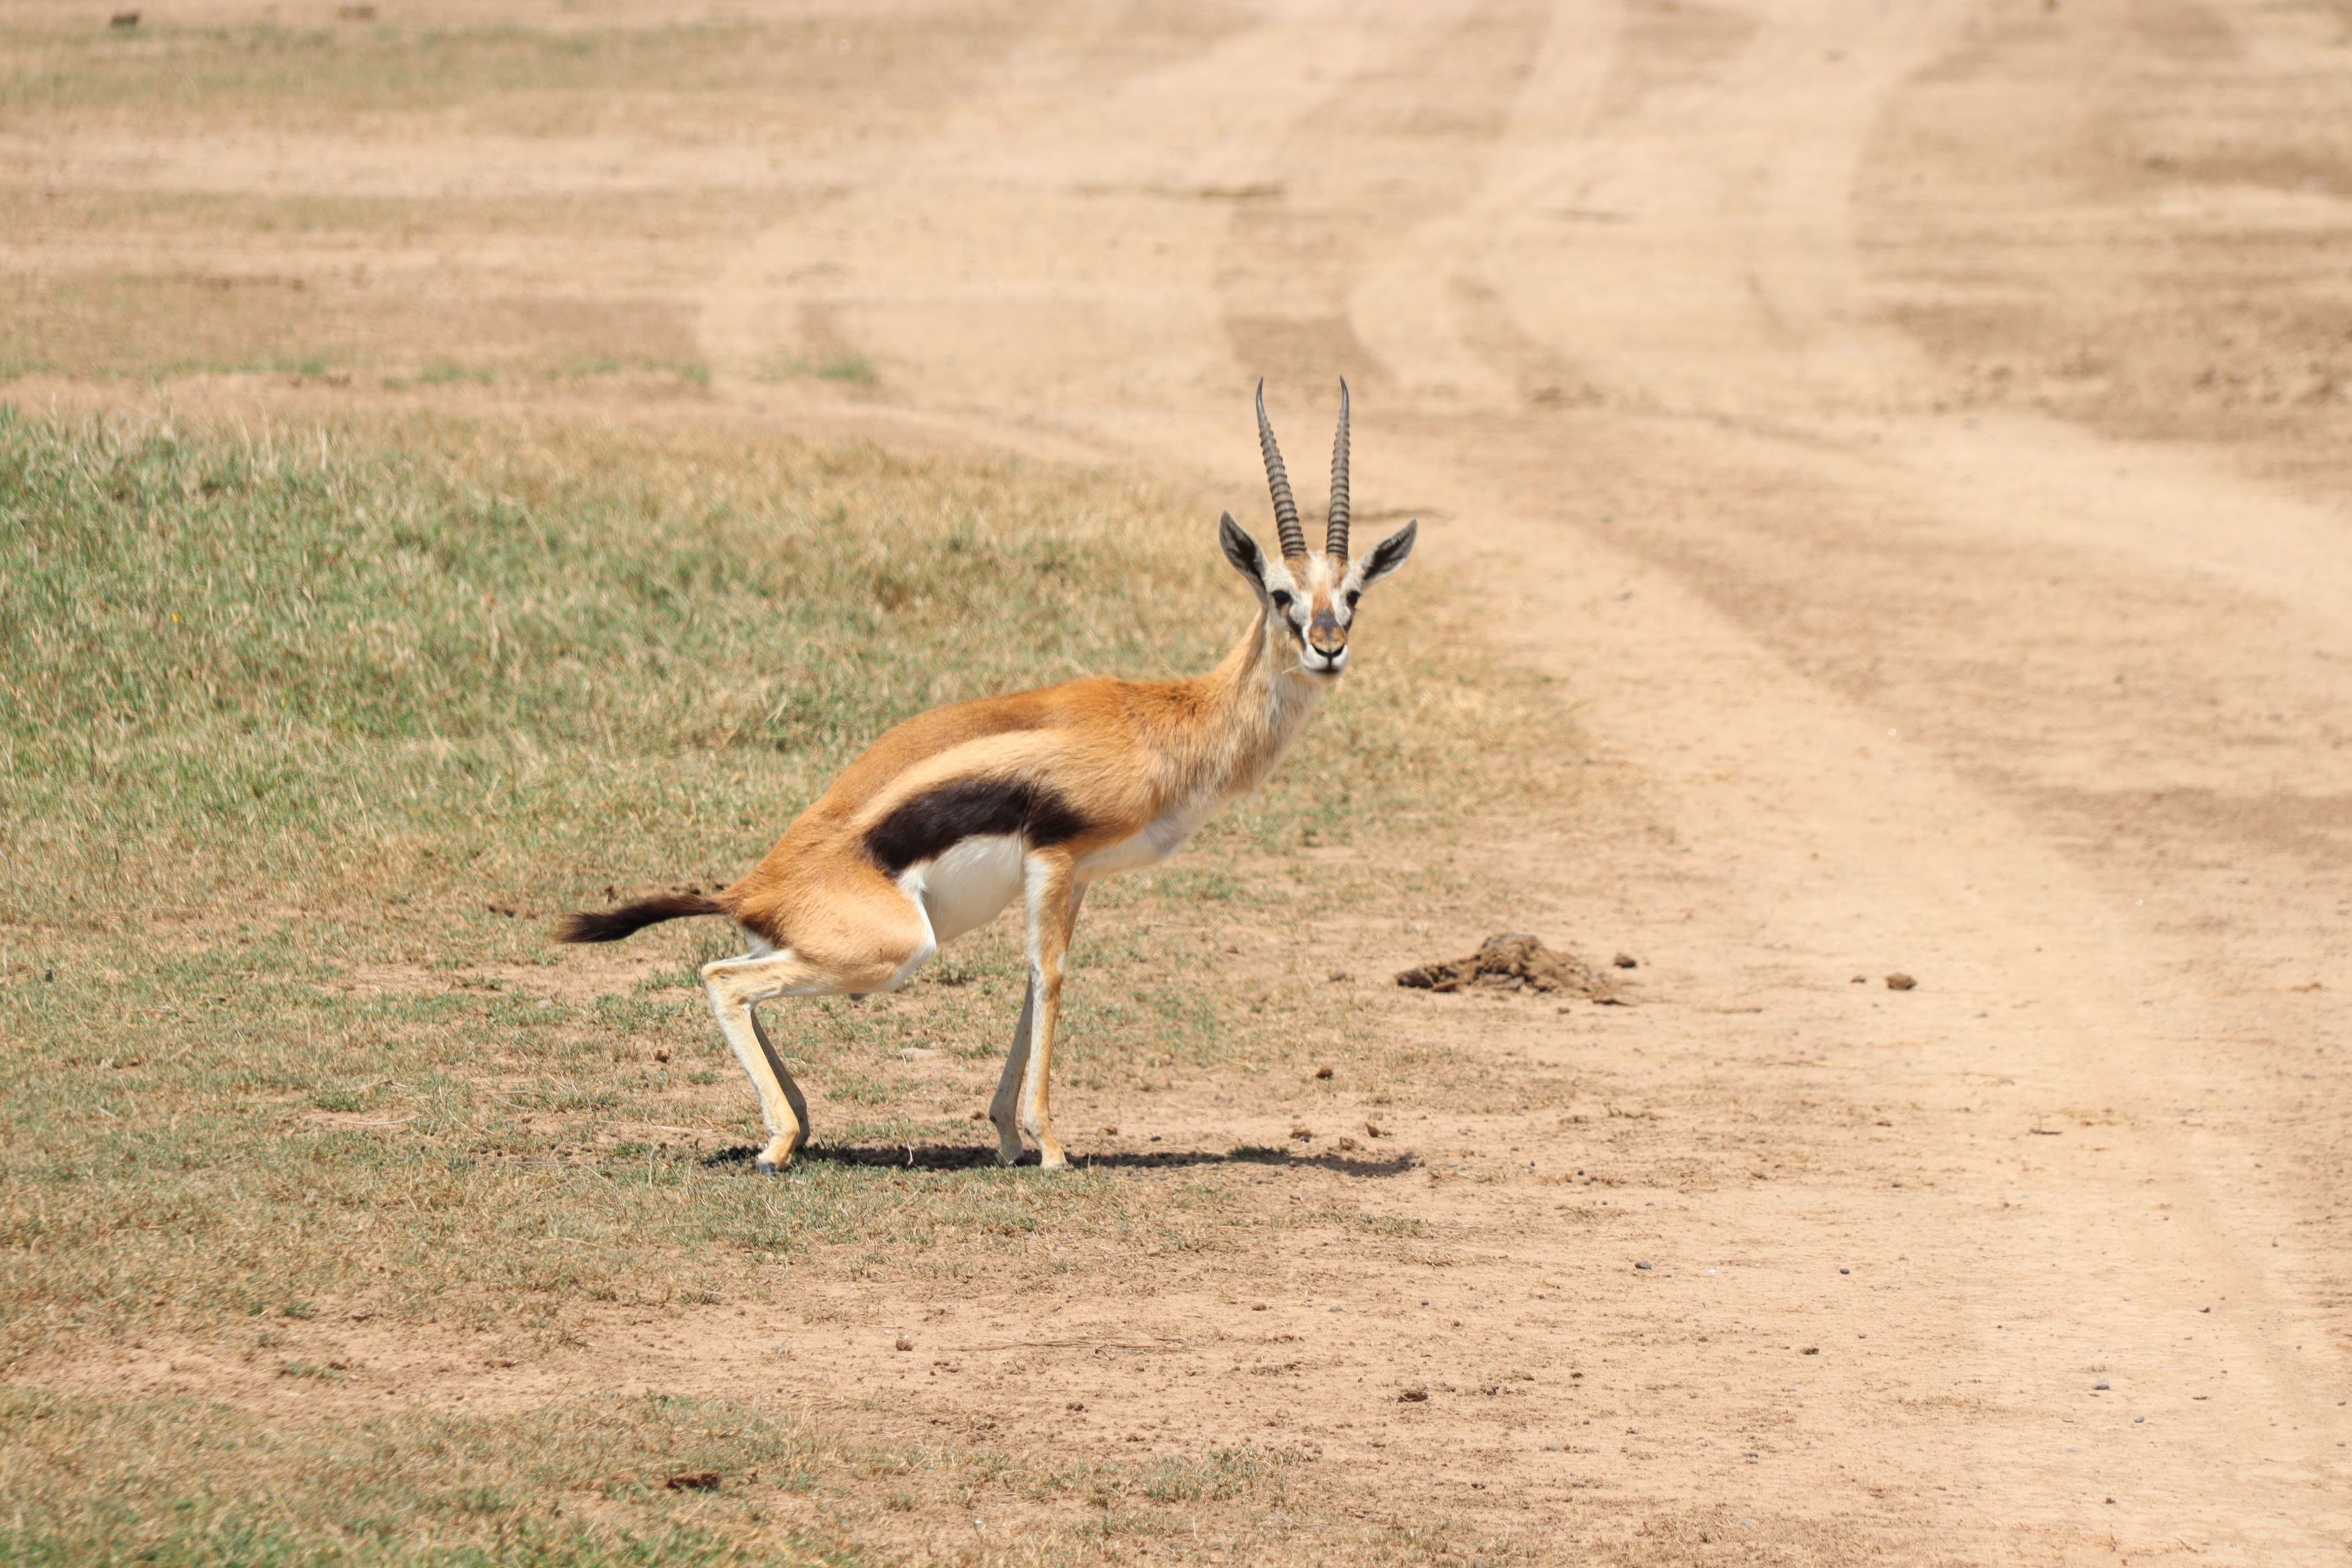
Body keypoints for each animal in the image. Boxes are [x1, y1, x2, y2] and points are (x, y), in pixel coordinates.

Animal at [557, 383, 1416, 1171]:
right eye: (1280, 593)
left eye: (1352, 593)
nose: (1328, 647)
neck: (1157, 721)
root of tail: (755, 887)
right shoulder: (1056, 860)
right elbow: (1052, 975)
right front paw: (1052, 1146)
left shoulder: (1080, 875)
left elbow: (1031, 985)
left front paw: (1007, 1136)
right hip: (900, 946)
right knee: (722, 977)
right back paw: (778, 1142)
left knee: (736, 975)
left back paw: (797, 1126)